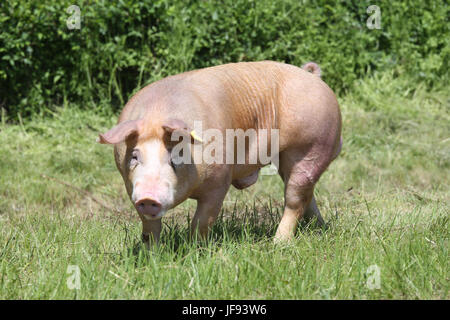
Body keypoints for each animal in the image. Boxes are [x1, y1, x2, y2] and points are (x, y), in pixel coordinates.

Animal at [98, 60, 342, 245]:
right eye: (135, 156)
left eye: (175, 156)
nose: (148, 197)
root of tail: (312, 76)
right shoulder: (130, 186)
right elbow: (149, 227)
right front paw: (152, 255)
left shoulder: (219, 181)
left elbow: (202, 221)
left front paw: (194, 250)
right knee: (307, 195)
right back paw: (319, 228)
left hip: (313, 145)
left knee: (295, 198)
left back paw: (279, 243)